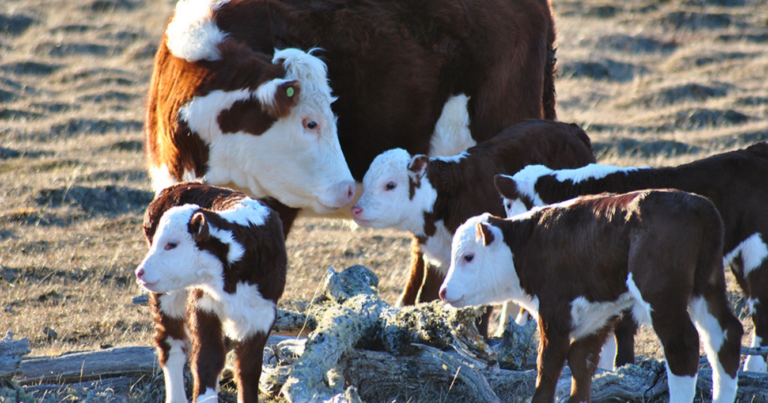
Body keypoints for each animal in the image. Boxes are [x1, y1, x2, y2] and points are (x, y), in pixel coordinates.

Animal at [136, 184, 286, 403]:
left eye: (172, 244)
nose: (140, 272)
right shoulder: (203, 305)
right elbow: (208, 359)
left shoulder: (263, 315)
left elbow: (248, 369)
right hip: (165, 294)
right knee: (172, 344)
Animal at [352, 119, 596, 334]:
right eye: (366, 181)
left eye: (390, 185)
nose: (356, 209)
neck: (443, 201)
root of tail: (572, 129)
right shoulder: (437, 260)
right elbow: (426, 298)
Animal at [444, 191, 744, 403]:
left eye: (468, 257)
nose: (443, 291)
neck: (530, 243)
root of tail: (699, 207)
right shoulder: (598, 314)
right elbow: (581, 364)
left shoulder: (554, 311)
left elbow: (548, 366)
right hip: (707, 287)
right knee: (725, 334)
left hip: (662, 297)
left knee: (682, 345)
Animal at [496, 141, 768, 372]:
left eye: (508, 204)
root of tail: (755, 149)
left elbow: (620, 329)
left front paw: (620, 366)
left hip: (758, 252)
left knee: (760, 307)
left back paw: (753, 368)